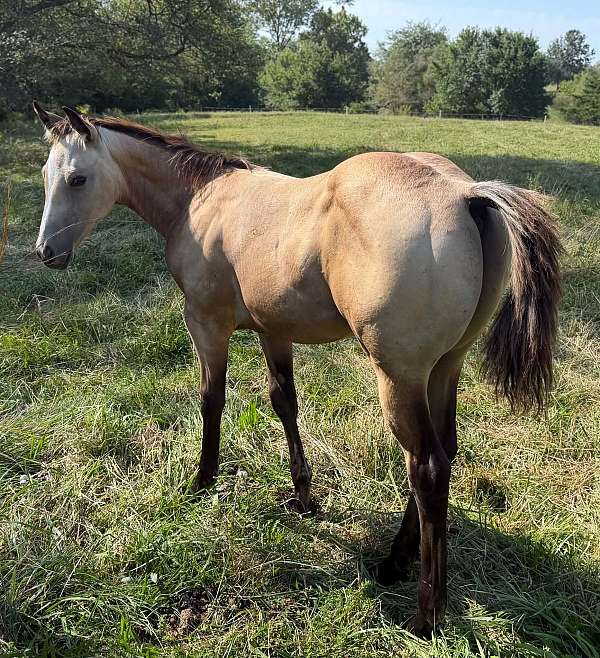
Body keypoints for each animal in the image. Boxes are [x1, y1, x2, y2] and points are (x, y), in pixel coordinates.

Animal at [31, 103, 562, 638]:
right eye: (45, 176)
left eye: (77, 178)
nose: (44, 253)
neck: (201, 199)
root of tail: (463, 194)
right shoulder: (274, 329)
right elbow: (284, 401)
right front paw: (303, 496)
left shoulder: (206, 323)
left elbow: (211, 400)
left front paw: (202, 481)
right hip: (443, 369)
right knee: (445, 452)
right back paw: (396, 560)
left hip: (399, 376)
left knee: (427, 467)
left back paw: (424, 613)